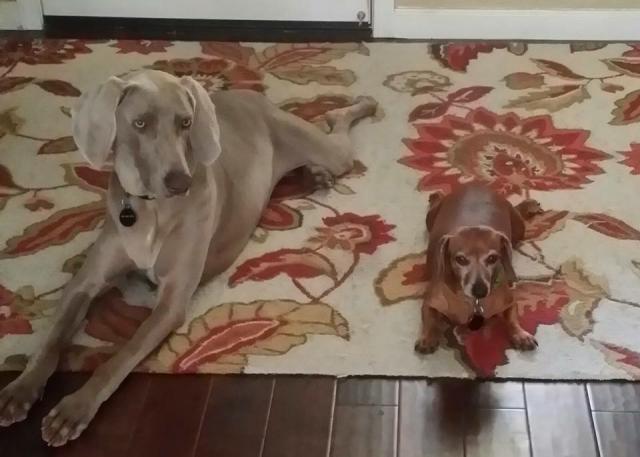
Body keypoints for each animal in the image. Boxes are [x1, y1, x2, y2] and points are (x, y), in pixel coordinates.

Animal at [0, 69, 378, 444]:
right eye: (140, 123)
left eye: (185, 122)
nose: (180, 181)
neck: (149, 208)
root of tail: (246, 94)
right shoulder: (84, 282)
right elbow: (51, 341)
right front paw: (20, 388)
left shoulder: (171, 301)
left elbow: (121, 356)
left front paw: (76, 407)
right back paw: (315, 173)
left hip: (326, 148)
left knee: (337, 124)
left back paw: (361, 108)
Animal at [416, 182, 544, 352]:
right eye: (460, 259)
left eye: (492, 258)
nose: (480, 290)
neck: (474, 303)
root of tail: (476, 185)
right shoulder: (430, 302)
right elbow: (430, 319)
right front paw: (428, 337)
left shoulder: (509, 301)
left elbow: (512, 318)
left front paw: (520, 334)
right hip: (430, 218)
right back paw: (436, 196)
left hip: (519, 228)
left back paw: (528, 205)